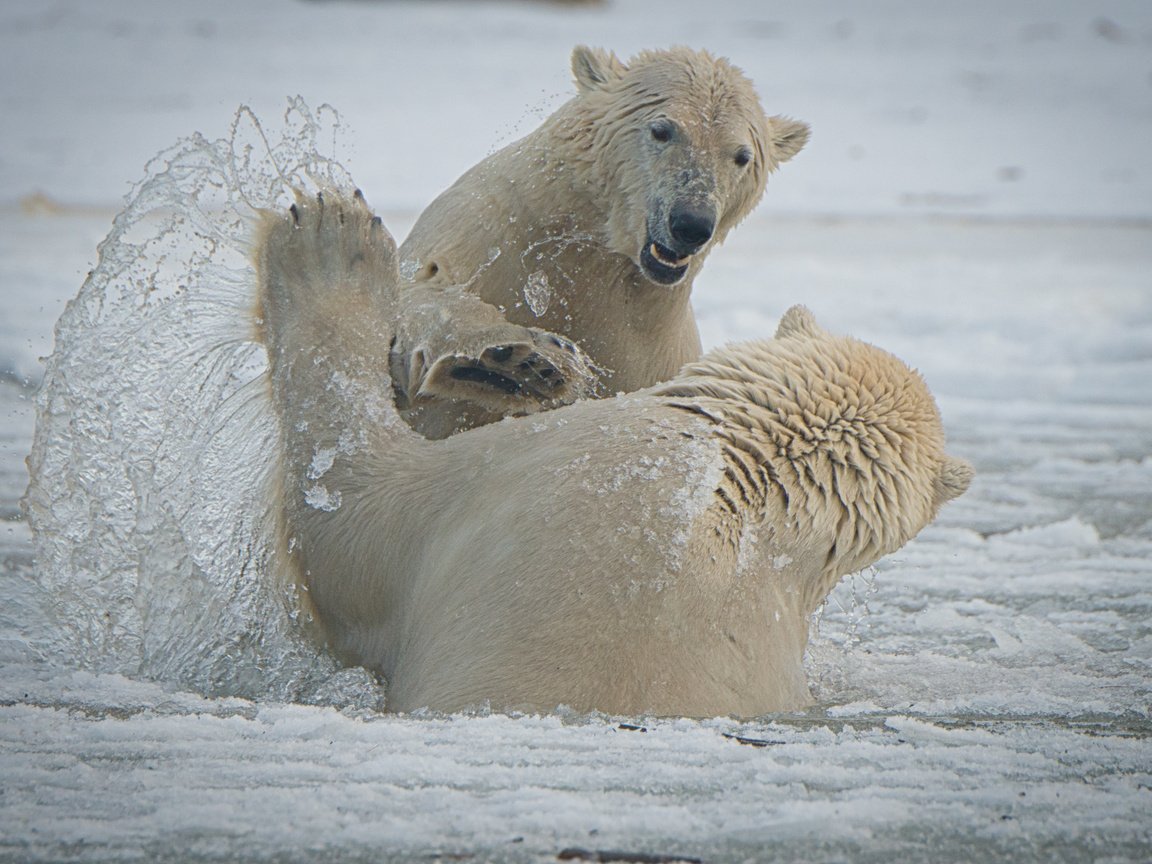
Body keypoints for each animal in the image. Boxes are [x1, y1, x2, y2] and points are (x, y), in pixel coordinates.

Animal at [391, 45, 806, 440]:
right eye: (662, 130)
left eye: (741, 156)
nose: (691, 223)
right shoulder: (491, 223)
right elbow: (421, 288)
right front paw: (519, 363)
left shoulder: (650, 351)